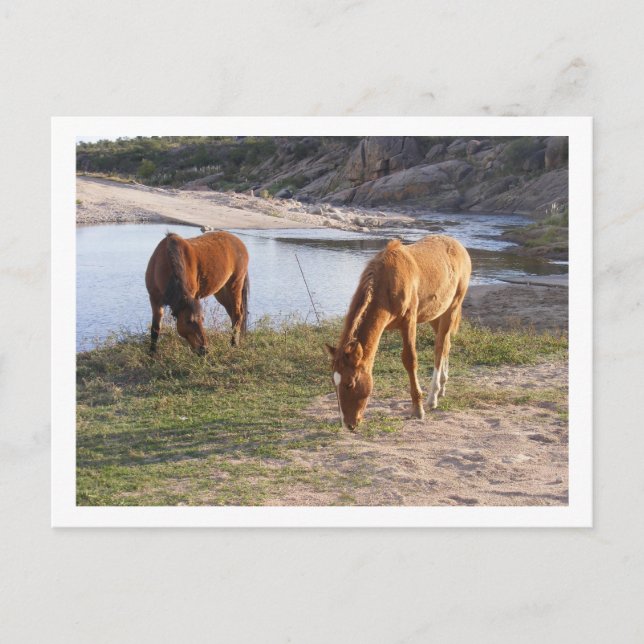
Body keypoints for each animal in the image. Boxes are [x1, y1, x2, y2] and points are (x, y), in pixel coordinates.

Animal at [326, 235, 471, 430]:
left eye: (350, 383)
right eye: (334, 383)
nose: (348, 424)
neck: (387, 284)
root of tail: (458, 245)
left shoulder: (409, 322)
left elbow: (410, 360)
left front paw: (417, 409)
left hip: (452, 308)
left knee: (440, 348)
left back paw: (433, 397)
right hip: (436, 314)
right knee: (446, 344)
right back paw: (442, 387)